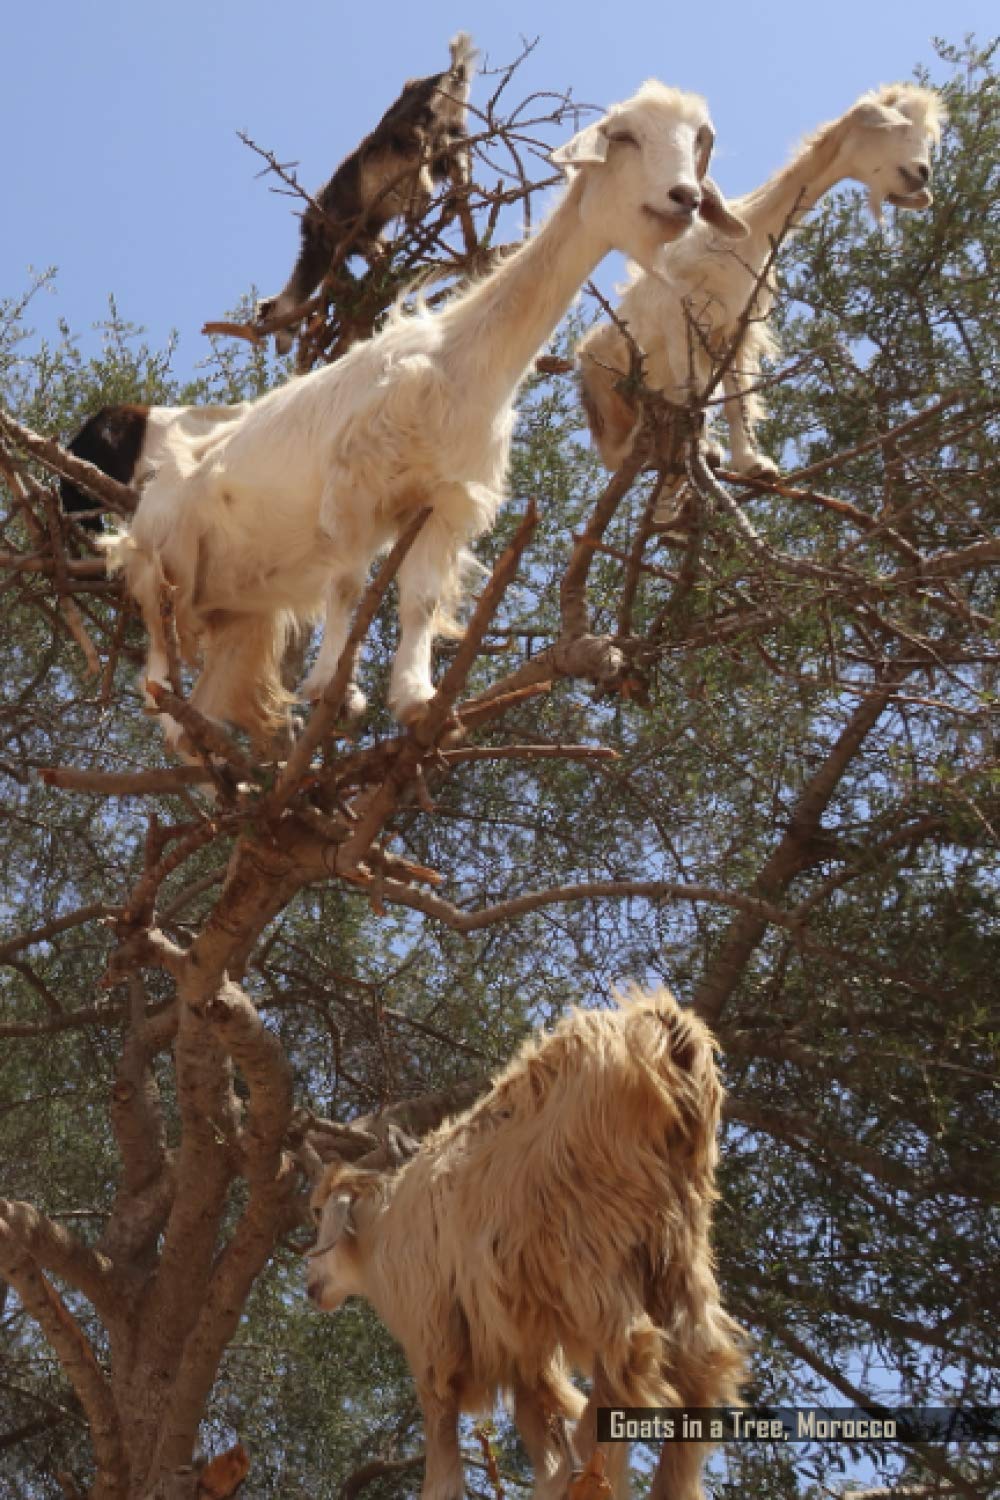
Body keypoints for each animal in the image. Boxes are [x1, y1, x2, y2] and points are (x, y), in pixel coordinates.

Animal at [102, 80, 747, 754]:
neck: (460, 358)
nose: (684, 197)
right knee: (156, 672)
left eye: (698, 142)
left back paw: (217, 756)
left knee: (199, 698)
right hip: (163, 568)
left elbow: (419, 602)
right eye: (623, 137)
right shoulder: (354, 488)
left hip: (241, 619)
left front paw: (415, 700)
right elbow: (348, 587)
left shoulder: (442, 501)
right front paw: (336, 690)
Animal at [257, 33, 478, 354]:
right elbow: (378, 245)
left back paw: (419, 211)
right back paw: (454, 202)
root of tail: (449, 75)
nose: (281, 349)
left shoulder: (343, 228)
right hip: (452, 131)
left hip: (407, 136)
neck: (316, 248)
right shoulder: (368, 227)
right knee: (457, 160)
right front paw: (384, 255)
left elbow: (365, 246)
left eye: (278, 322)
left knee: (419, 161)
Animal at [306, 985, 744, 1500]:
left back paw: (591, 1479)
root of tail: (665, 1034)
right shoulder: (518, 1344)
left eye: (318, 1212)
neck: (382, 1228)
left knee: (629, 1350)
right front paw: (552, 1473)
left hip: (588, 1237)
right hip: (677, 1238)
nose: (312, 1283)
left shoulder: (432, 1338)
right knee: (701, 1363)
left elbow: (444, 1462)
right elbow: (540, 1431)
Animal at [578, 84, 944, 479]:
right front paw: (704, 450)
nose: (922, 173)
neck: (748, 231)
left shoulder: (735, 326)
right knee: (613, 454)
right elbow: (691, 387)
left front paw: (753, 464)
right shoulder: (679, 312)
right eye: (897, 123)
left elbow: (733, 397)